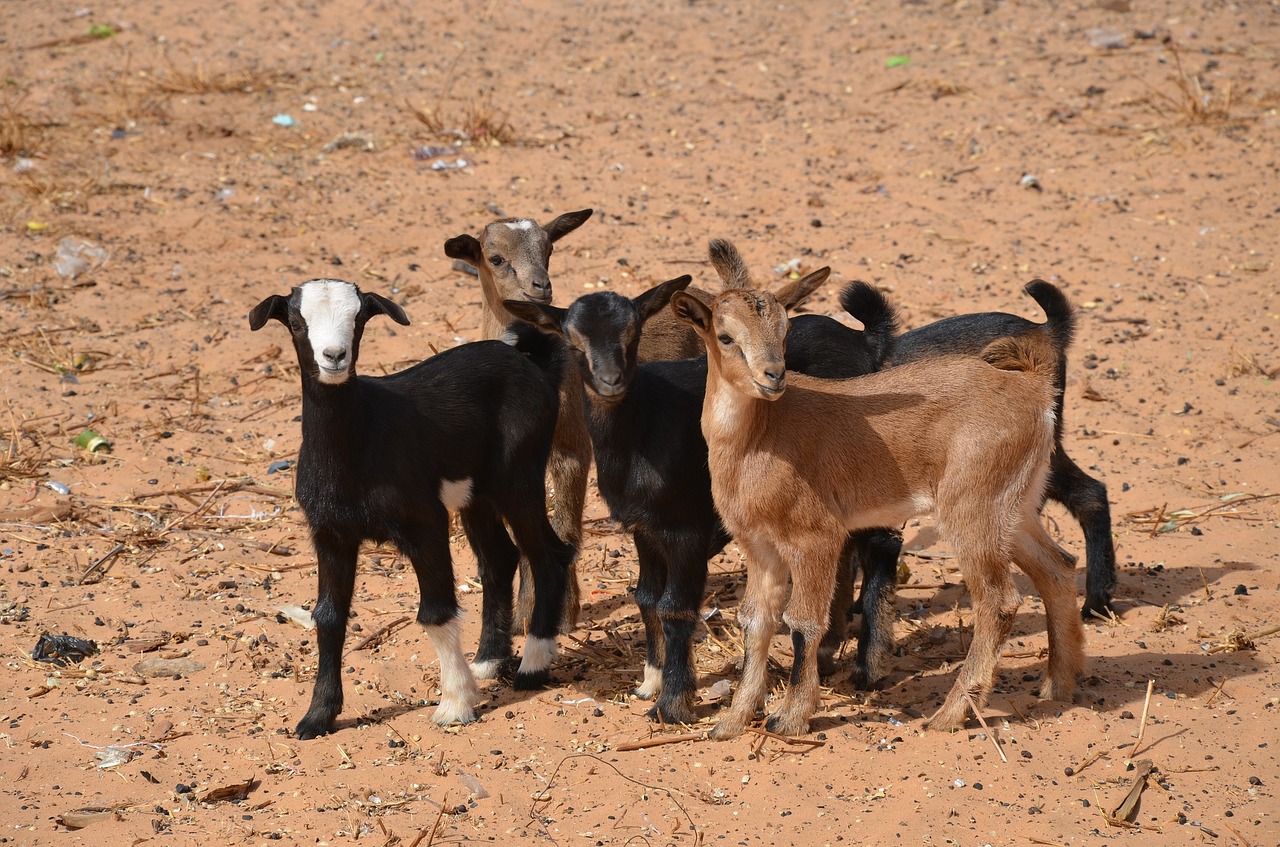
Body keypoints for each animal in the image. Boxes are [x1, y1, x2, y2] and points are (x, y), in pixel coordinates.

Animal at [249, 281, 570, 742]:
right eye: (295, 321)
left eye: (358, 319)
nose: (334, 357)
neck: (360, 437)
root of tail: (531, 364)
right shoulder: (330, 534)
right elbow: (328, 617)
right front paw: (317, 716)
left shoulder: (424, 523)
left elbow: (435, 613)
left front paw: (454, 706)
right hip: (476, 493)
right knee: (499, 558)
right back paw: (488, 661)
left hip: (519, 475)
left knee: (548, 554)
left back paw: (533, 666)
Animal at [445, 212, 593, 644]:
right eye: (495, 258)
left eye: (550, 249)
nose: (540, 287)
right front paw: (524, 615)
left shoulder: (572, 446)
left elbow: (565, 527)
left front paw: (559, 614)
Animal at [675, 240, 1085, 742]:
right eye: (726, 336)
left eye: (785, 330)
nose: (773, 376)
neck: (758, 437)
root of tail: (1034, 390)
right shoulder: (760, 546)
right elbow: (755, 620)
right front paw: (732, 721)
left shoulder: (816, 537)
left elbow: (803, 621)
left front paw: (790, 716)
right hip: (1016, 505)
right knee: (1058, 568)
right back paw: (1058, 686)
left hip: (973, 509)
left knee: (998, 601)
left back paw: (950, 714)